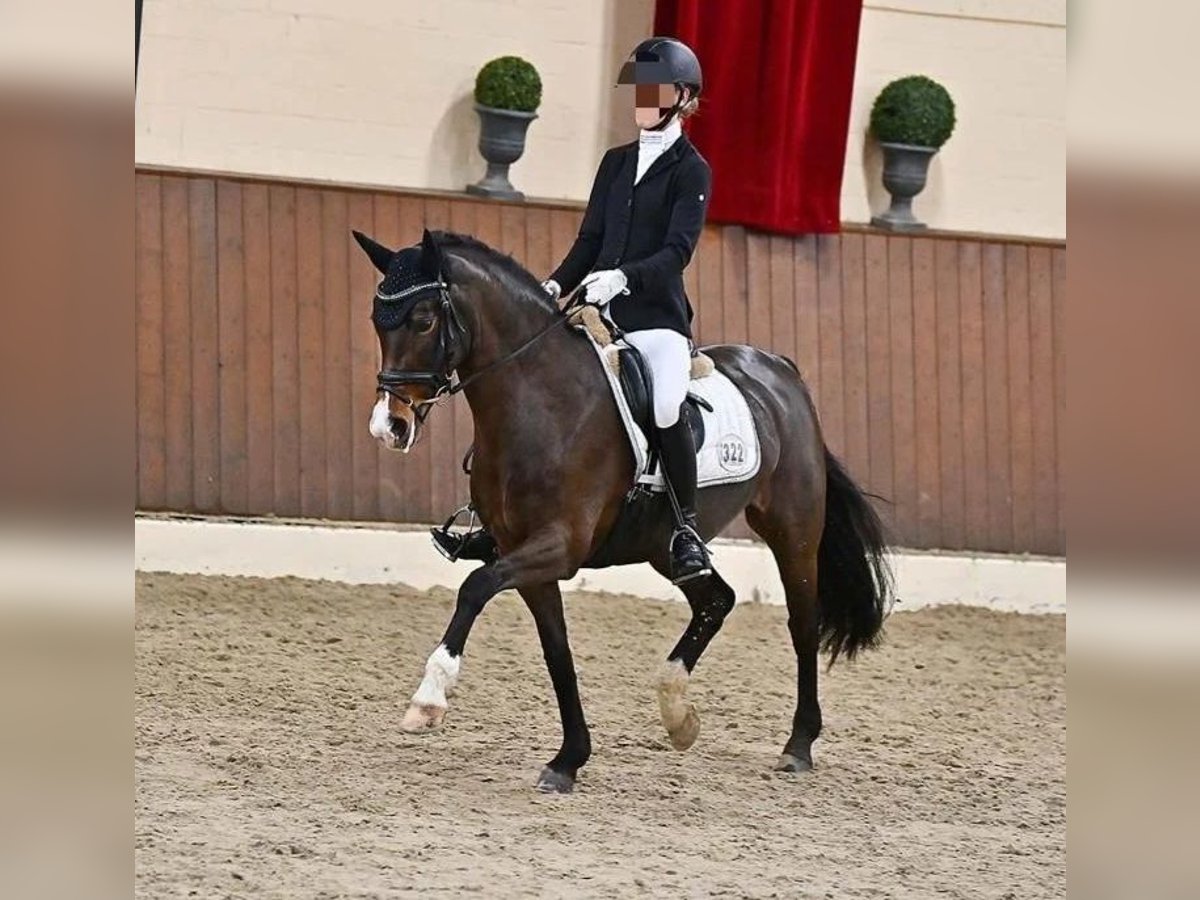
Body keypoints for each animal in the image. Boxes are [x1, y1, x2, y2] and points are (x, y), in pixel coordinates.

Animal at [350, 226, 888, 796]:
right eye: (378, 321)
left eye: (424, 319)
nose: (389, 427)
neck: (543, 404)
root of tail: (781, 371)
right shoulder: (525, 555)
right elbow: (557, 653)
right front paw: (568, 760)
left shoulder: (559, 546)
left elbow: (474, 588)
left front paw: (428, 701)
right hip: (664, 546)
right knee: (716, 600)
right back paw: (678, 714)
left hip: (793, 529)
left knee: (802, 622)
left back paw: (798, 745)